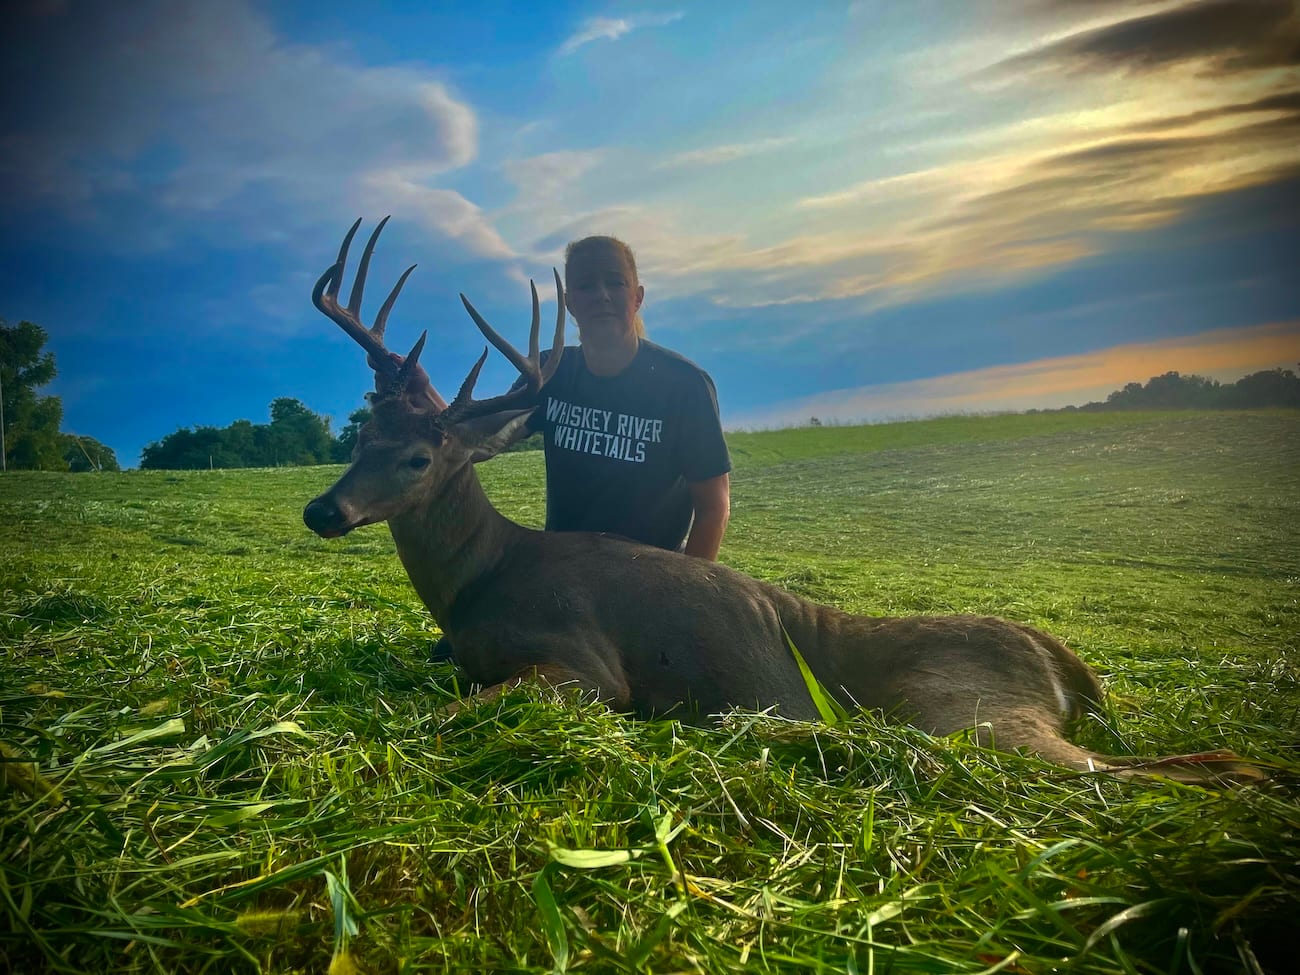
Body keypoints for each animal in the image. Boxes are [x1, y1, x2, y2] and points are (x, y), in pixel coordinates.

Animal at [302, 218, 1264, 786]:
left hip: (972, 714)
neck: (481, 581)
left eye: (421, 455)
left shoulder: (587, 667)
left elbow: (445, 713)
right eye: (360, 434)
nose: (322, 512)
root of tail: (1063, 657)